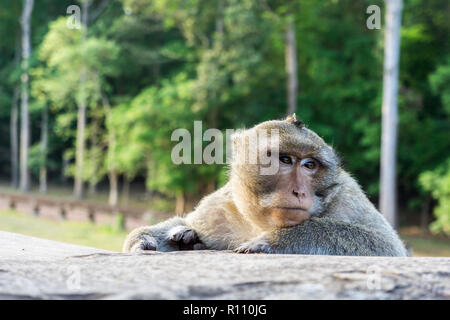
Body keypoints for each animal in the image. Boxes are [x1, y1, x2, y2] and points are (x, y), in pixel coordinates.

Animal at [123, 114, 408, 255]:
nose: (299, 191)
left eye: (309, 165)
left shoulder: (347, 197)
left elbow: (386, 246)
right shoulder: (221, 208)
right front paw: (160, 236)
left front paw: (275, 240)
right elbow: (189, 222)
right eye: (285, 159)